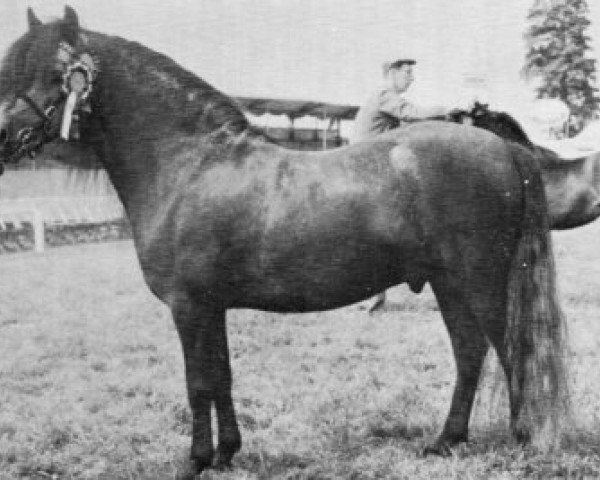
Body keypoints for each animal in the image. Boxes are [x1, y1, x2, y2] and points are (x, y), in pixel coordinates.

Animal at [0, 7, 568, 476]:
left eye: (51, 74)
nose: (3, 140)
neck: (190, 165)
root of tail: (500, 147)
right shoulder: (211, 307)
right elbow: (222, 376)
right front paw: (226, 453)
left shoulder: (189, 306)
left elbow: (198, 382)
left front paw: (195, 460)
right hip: (449, 285)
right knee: (470, 352)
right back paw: (446, 440)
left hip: (481, 283)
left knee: (509, 350)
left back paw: (521, 438)